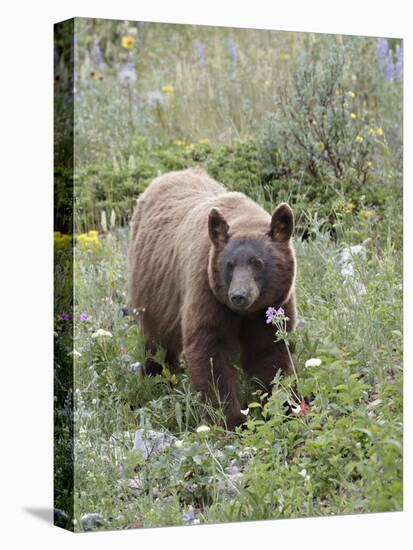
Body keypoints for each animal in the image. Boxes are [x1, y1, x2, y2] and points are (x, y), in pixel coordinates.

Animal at [127, 169, 294, 432]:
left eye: (257, 263)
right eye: (229, 264)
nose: (238, 296)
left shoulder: (273, 305)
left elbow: (270, 351)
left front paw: (286, 406)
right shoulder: (206, 289)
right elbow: (209, 350)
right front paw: (231, 419)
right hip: (151, 288)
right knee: (156, 341)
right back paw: (157, 379)